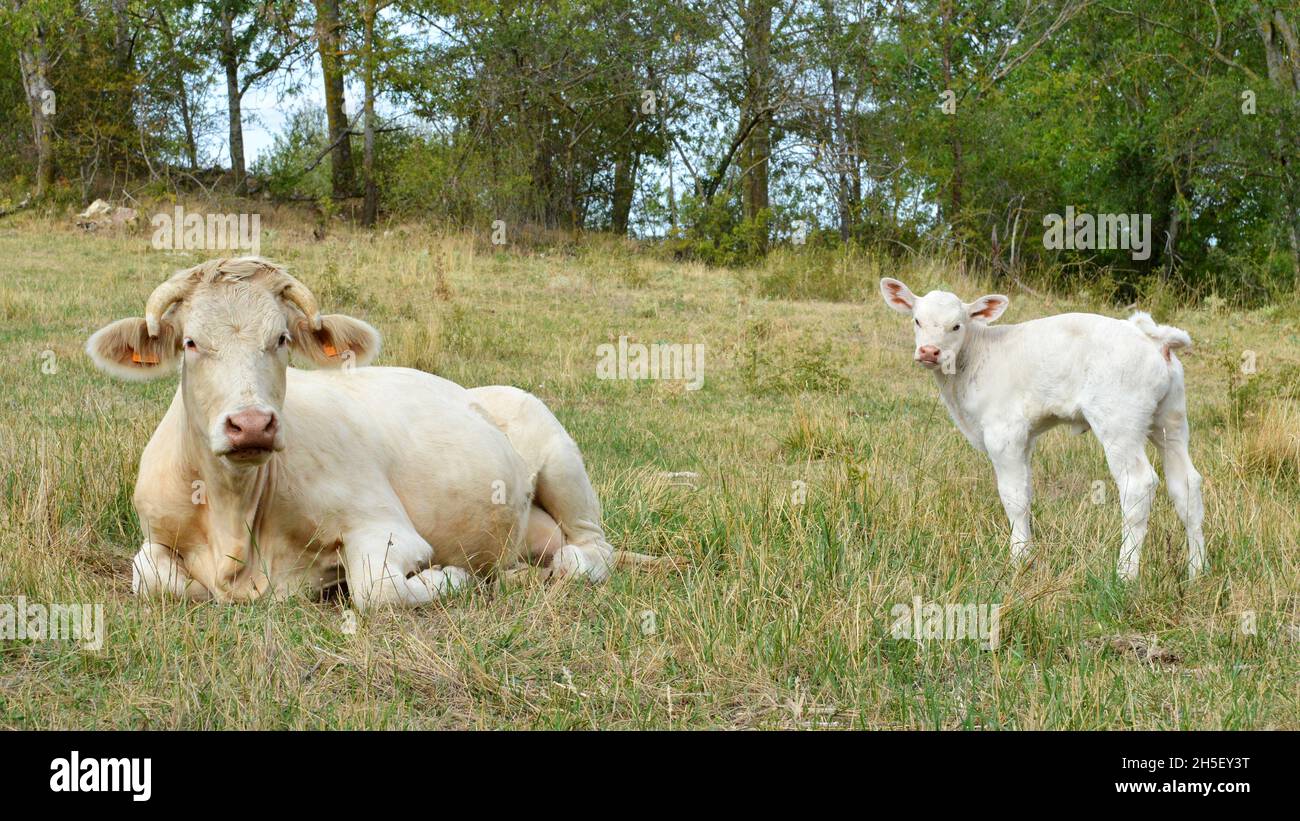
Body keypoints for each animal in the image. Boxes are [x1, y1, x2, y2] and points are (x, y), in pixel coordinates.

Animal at [87, 257, 619, 609]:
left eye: (281, 338)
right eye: (191, 343)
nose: (252, 424)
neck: (233, 515)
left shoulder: (385, 525)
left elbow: (377, 590)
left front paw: (449, 576)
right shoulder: (154, 534)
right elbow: (153, 578)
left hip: (561, 460)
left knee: (590, 551)